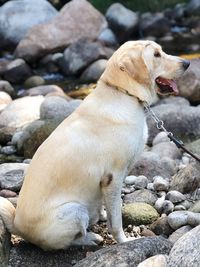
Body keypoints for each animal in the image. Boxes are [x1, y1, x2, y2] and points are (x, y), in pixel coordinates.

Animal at [0, 40, 189, 251]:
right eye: (156, 55)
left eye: (161, 51)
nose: (187, 64)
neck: (124, 93)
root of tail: (16, 224)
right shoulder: (113, 177)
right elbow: (116, 221)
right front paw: (124, 241)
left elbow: (106, 206)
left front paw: (102, 214)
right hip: (74, 210)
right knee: (63, 243)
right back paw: (90, 238)